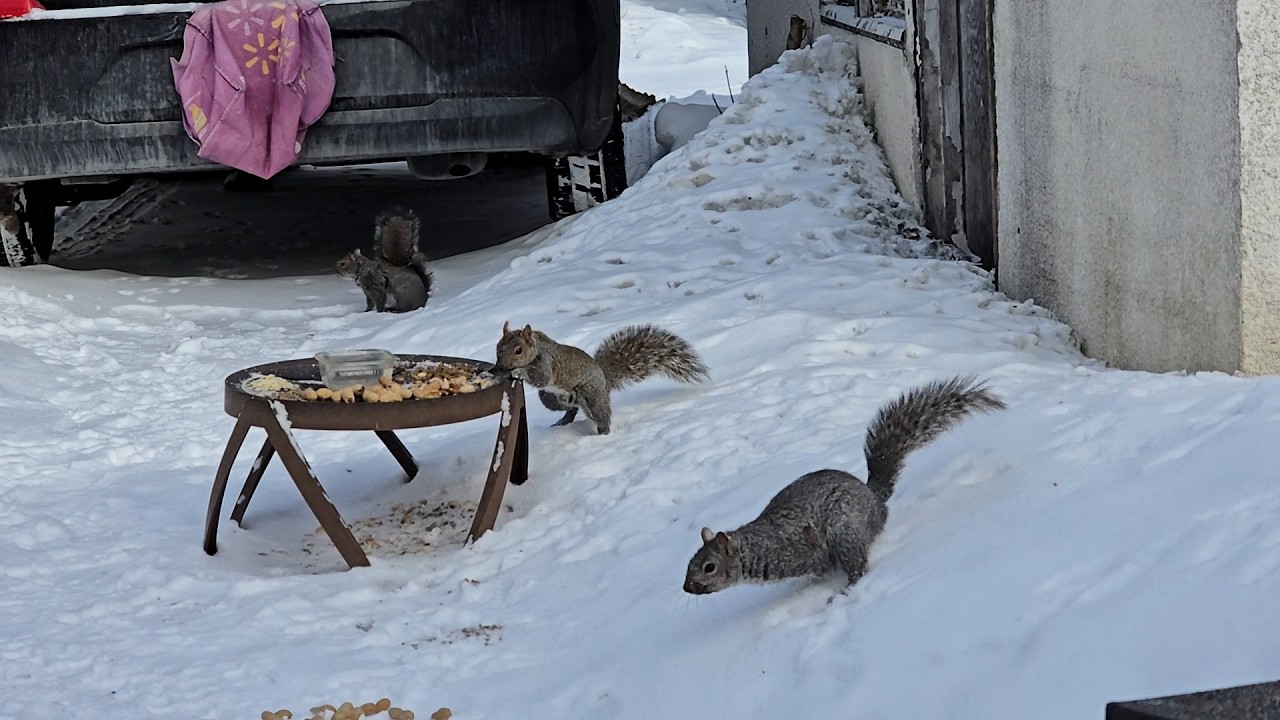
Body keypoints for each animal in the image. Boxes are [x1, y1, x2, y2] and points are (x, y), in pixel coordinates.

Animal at [493, 321, 709, 435]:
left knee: (600, 415)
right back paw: (562, 421)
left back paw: (602, 433)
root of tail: (605, 380)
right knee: (570, 409)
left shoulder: (546, 364)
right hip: (550, 399)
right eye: (498, 347)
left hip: (593, 397)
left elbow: (541, 378)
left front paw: (518, 372)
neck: (536, 348)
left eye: (519, 350)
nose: (500, 367)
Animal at [683, 376, 1005, 595]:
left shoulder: (805, 547)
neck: (759, 546)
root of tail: (874, 498)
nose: (687, 588)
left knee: (858, 565)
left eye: (709, 567)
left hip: (844, 529)